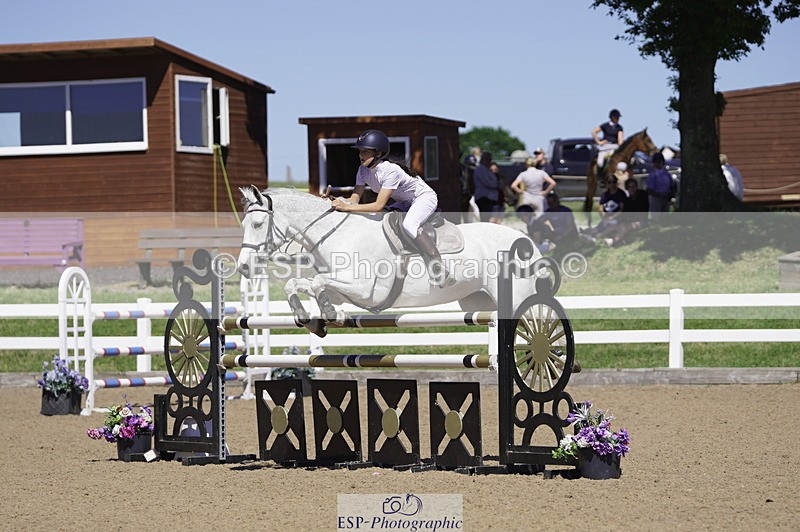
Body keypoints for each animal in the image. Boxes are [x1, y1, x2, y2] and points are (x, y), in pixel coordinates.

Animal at [235, 186, 544, 336]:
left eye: (258, 224)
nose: (244, 267)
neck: (335, 233)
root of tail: (525, 240)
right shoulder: (341, 291)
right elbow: (300, 284)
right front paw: (310, 320)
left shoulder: (365, 290)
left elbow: (317, 282)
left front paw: (331, 316)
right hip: (477, 301)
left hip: (516, 298)